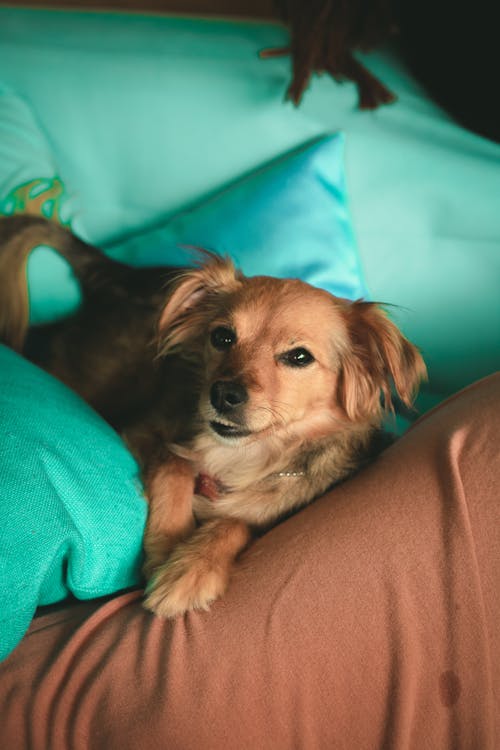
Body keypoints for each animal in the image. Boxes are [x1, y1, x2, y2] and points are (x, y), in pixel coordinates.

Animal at [0, 216, 426, 616]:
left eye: (299, 357)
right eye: (222, 337)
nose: (223, 395)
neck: (243, 457)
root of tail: (122, 274)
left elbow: (235, 522)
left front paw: (190, 569)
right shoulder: (145, 429)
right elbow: (174, 464)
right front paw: (165, 549)